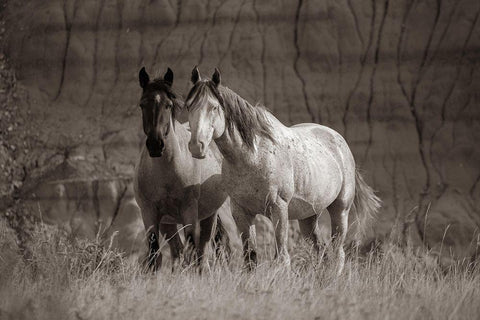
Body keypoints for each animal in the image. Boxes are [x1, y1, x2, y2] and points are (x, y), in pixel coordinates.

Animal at [186, 67, 380, 272]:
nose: (196, 146)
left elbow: (282, 257)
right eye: (188, 106)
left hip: (340, 209)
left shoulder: (278, 207)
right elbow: (250, 258)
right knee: (321, 252)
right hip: (308, 217)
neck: (252, 156)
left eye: (214, 107)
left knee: (338, 253)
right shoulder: (241, 211)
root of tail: (338, 139)